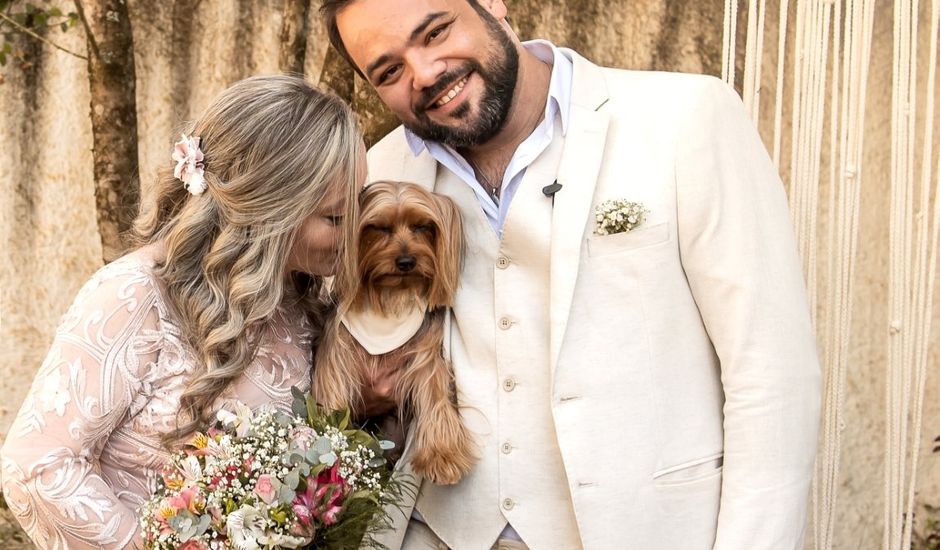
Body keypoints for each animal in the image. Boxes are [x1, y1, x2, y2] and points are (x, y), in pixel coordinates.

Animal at [314, 182, 478, 488]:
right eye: (379, 227)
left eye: (422, 226)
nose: (406, 261)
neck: (390, 298)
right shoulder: (338, 353)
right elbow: (333, 394)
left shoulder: (426, 355)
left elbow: (435, 393)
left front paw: (443, 456)